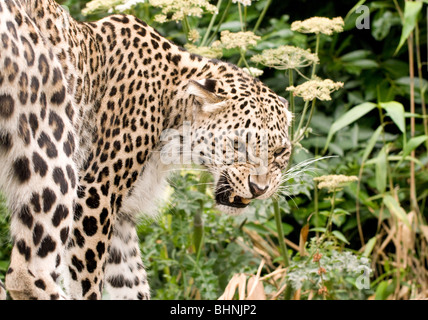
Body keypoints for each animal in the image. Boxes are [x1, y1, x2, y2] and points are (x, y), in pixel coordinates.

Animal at [0, 0, 290, 300]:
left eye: (280, 152)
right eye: (238, 143)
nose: (259, 188)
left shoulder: (121, 217)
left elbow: (130, 282)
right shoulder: (95, 194)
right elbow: (88, 279)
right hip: (54, 146)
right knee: (27, 273)